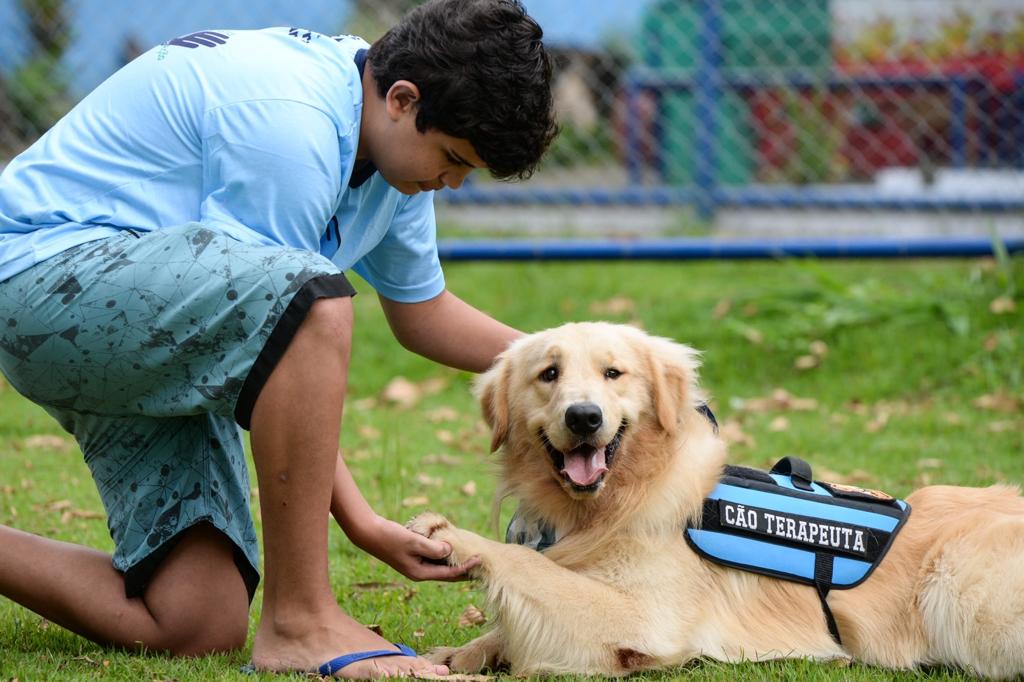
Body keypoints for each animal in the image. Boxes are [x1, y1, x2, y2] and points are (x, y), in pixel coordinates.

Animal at [407, 321, 1024, 675]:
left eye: (613, 373)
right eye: (548, 374)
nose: (584, 417)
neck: (613, 502)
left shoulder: (643, 621)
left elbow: (529, 569)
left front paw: (453, 536)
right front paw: (460, 655)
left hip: (958, 589)